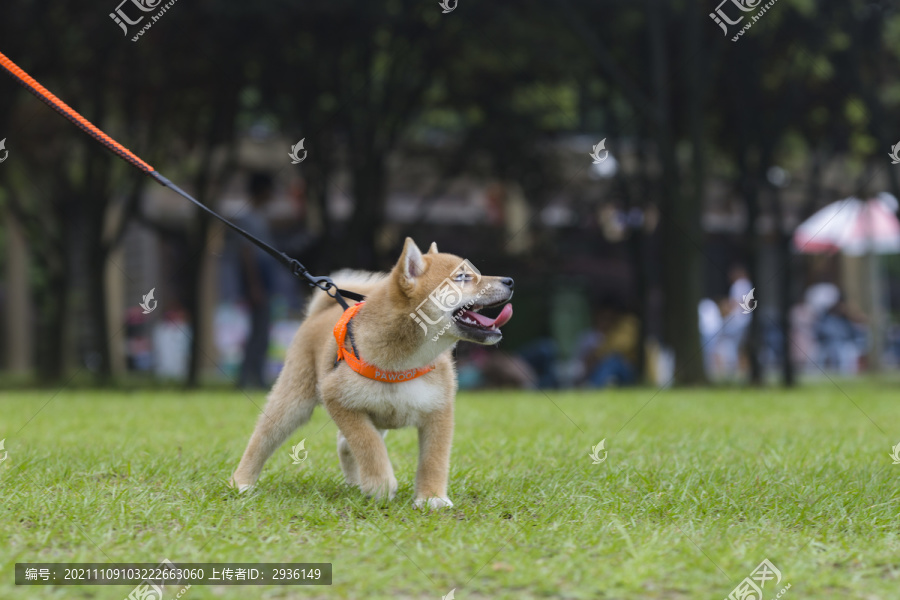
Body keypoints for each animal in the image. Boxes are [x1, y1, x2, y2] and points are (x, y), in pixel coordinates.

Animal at [232, 238, 512, 506]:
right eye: (462, 277)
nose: (509, 280)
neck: (406, 362)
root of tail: (321, 312)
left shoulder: (438, 410)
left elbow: (434, 460)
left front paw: (431, 497)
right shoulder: (337, 398)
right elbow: (368, 444)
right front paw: (380, 485)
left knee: (344, 444)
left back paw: (355, 483)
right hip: (293, 402)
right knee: (263, 439)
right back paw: (241, 482)